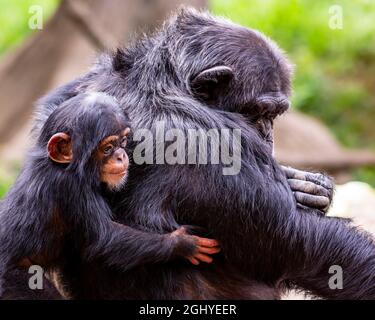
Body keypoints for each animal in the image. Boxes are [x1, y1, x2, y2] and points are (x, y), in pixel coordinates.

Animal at [0, 92, 220, 300]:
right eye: (108, 148)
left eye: (123, 141)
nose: (121, 156)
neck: (64, 166)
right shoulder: (71, 189)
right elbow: (105, 237)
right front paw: (184, 243)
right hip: (14, 280)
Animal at [33, 8, 375, 300]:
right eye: (259, 113)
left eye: (275, 115)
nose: (267, 135)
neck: (164, 83)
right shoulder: (209, 142)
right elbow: (294, 239)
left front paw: (311, 187)